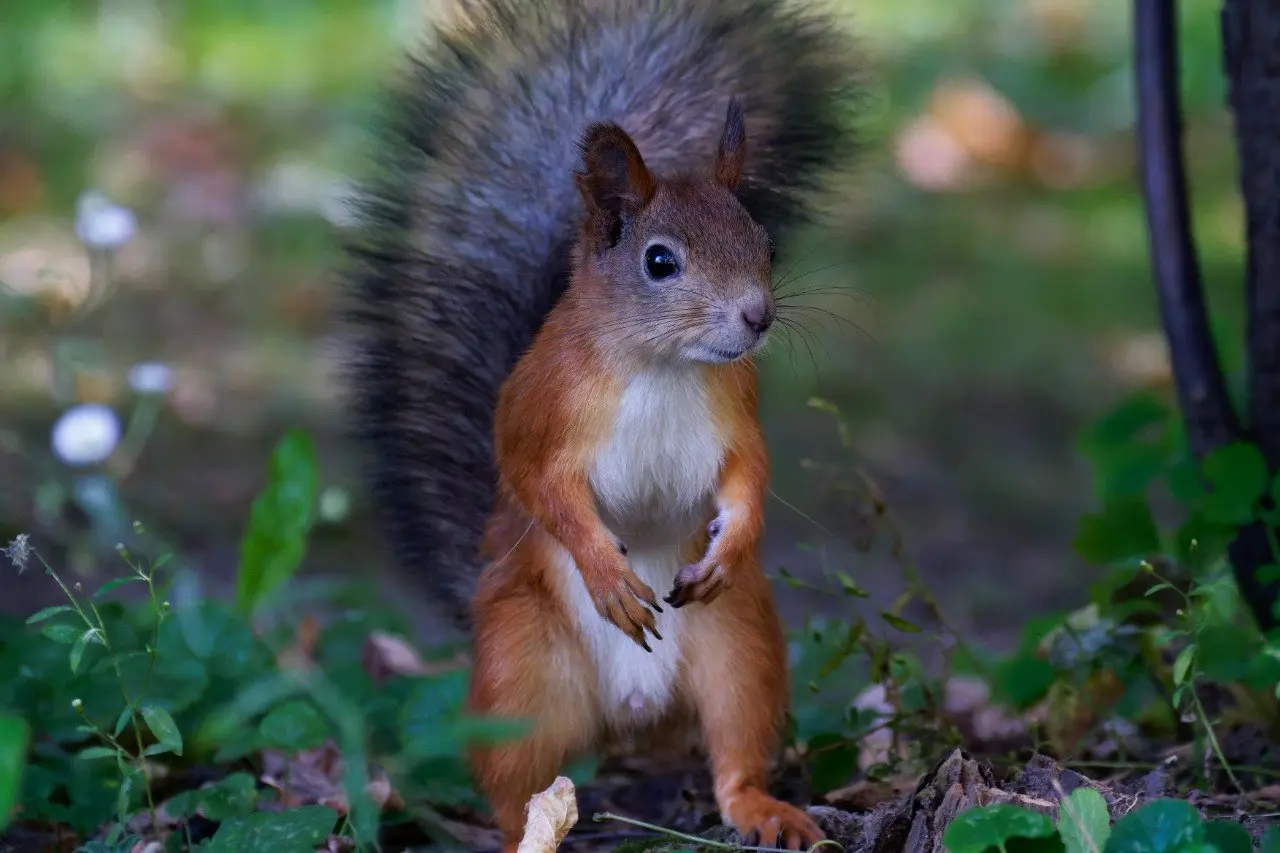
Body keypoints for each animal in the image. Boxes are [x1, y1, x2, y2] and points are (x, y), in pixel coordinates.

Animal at [341, 0, 859, 849]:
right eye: (659, 261)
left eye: (762, 242)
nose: (757, 316)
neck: (661, 365)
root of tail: (631, 710)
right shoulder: (538, 411)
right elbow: (539, 484)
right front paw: (606, 571)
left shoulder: (737, 408)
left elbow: (749, 472)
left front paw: (734, 540)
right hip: (521, 675)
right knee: (515, 786)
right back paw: (529, 828)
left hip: (739, 646)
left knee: (736, 748)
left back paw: (762, 808)